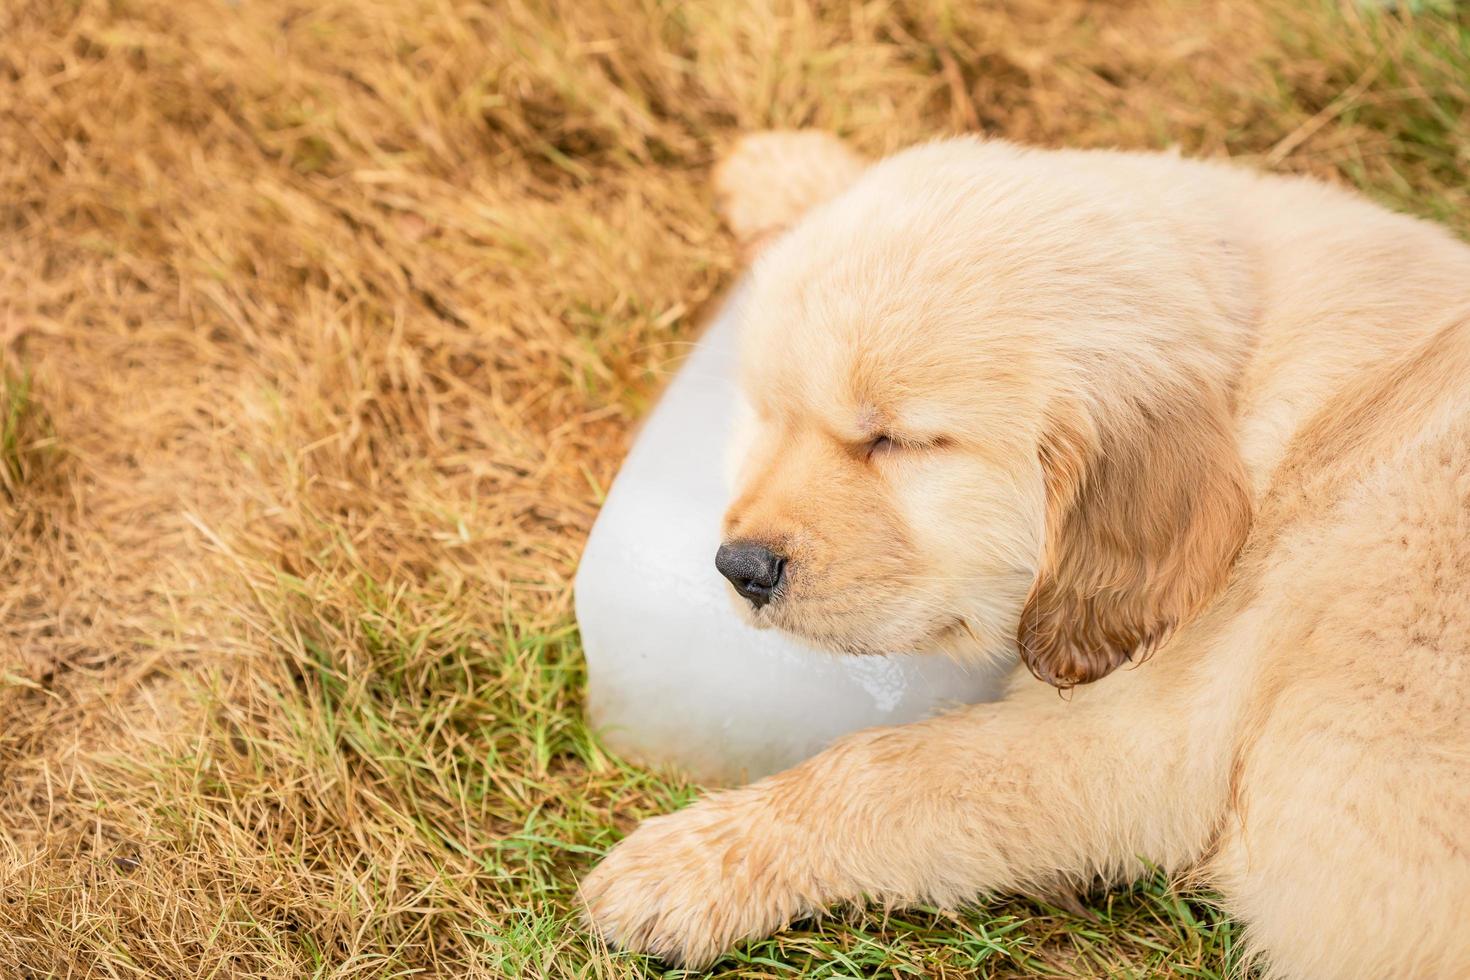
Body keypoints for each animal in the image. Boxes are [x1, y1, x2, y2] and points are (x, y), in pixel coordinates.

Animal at [576, 132, 1470, 980]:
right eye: (768, 416)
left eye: (898, 442)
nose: (742, 568)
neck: (1257, 392)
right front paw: (790, 171)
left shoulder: (1129, 752)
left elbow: (878, 770)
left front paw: (679, 869)